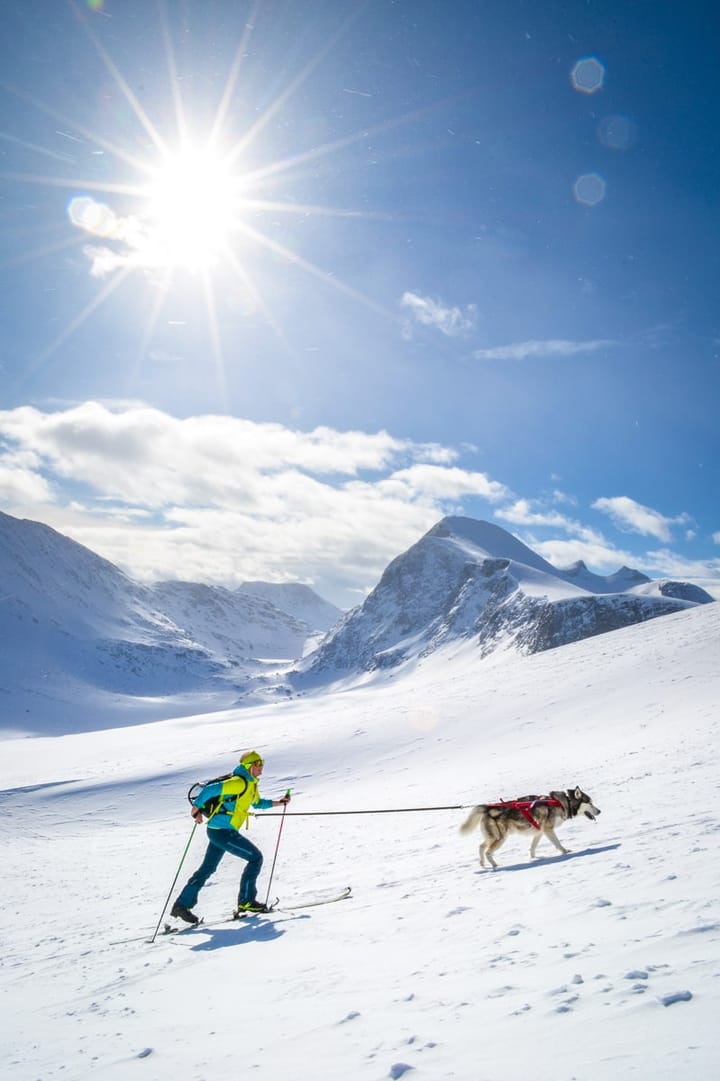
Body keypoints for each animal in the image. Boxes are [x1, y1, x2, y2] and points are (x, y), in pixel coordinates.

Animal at [460, 786, 601, 869]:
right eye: (590, 803)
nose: (599, 811)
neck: (561, 803)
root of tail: (487, 808)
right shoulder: (548, 829)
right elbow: (557, 843)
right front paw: (565, 851)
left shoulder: (539, 832)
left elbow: (533, 847)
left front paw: (533, 858)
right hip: (500, 838)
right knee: (488, 852)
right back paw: (495, 865)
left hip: (492, 837)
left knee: (481, 847)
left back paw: (482, 863)